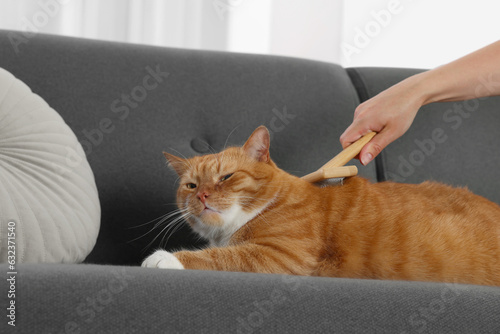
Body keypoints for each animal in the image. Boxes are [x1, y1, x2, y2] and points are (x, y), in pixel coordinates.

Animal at [142, 126, 500, 288]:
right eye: (191, 185)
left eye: (226, 177)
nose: (202, 196)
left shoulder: (282, 256)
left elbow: (221, 257)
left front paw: (164, 258)